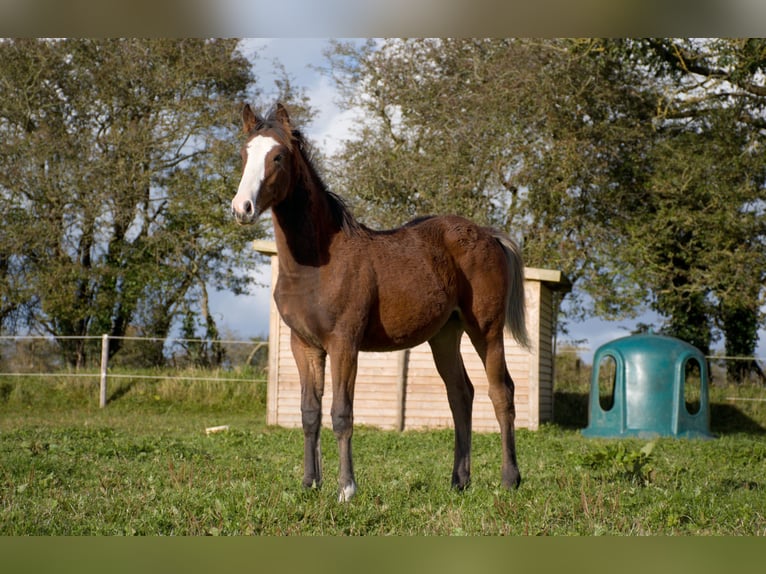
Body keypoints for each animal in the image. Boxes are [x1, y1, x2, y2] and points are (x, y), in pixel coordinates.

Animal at [231, 103, 532, 504]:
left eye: (277, 156)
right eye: (244, 153)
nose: (242, 208)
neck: (317, 264)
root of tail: (489, 235)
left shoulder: (344, 343)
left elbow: (341, 413)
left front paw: (346, 489)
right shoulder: (303, 345)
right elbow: (309, 413)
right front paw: (310, 483)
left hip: (486, 330)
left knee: (501, 392)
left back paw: (510, 479)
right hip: (445, 335)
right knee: (460, 394)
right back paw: (459, 481)